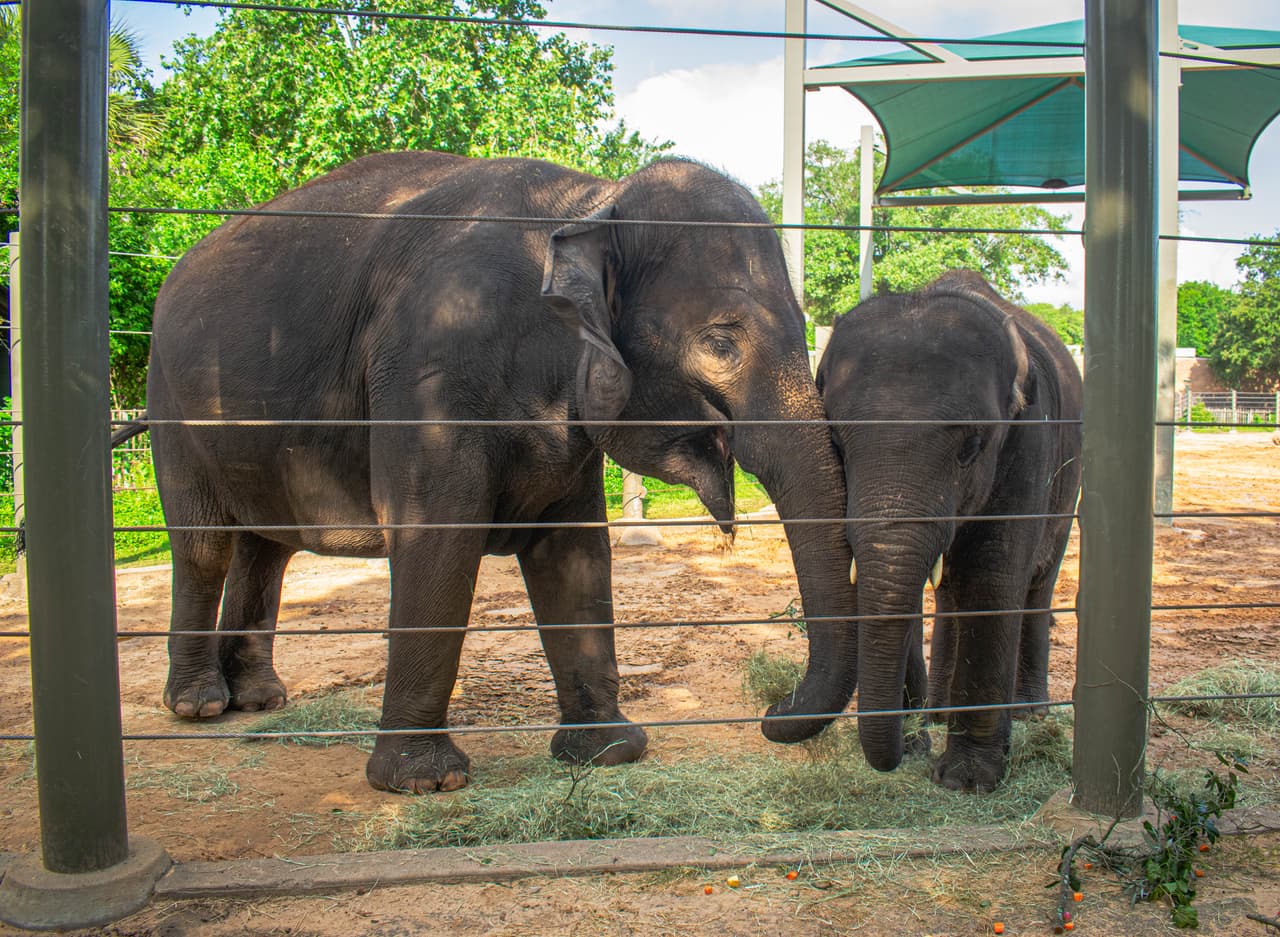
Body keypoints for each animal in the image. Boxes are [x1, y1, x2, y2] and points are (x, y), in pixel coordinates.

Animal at [141, 150, 858, 794]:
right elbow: (440, 537)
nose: (772, 712)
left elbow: (574, 552)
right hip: (169, 404)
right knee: (204, 547)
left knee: (265, 549)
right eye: (720, 344)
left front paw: (609, 753)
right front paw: (424, 782)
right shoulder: (429, 372)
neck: (589, 200)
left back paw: (258, 699)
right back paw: (201, 705)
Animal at [766, 269, 1082, 792]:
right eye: (836, 441)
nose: (771, 712)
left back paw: (1030, 711)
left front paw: (967, 780)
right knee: (951, 588)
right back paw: (937, 713)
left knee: (1037, 580)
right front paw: (917, 745)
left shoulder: (1029, 440)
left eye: (971, 447)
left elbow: (992, 577)